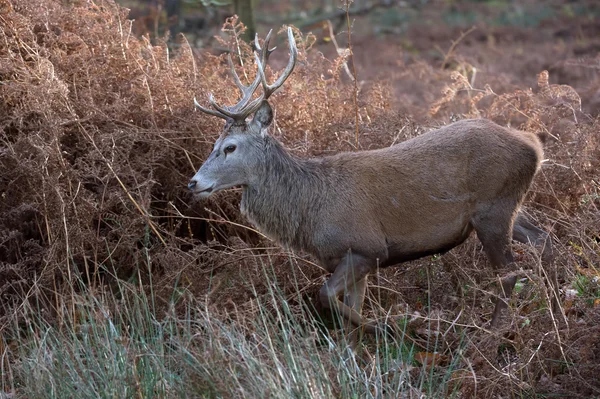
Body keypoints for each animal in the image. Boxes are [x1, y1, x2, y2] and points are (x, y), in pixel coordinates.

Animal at [188, 28, 552, 340]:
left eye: (230, 147)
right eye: (214, 144)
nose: (193, 183)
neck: (309, 212)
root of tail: (534, 145)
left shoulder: (366, 246)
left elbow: (326, 297)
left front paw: (397, 330)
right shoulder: (347, 259)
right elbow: (349, 315)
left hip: (493, 208)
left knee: (509, 272)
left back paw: (492, 333)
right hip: (509, 205)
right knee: (542, 239)